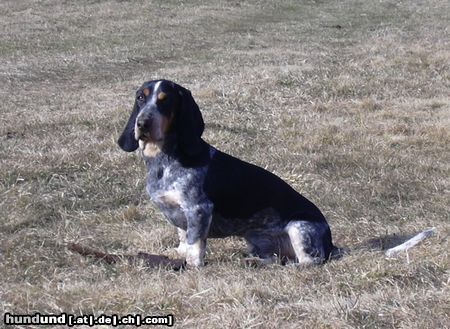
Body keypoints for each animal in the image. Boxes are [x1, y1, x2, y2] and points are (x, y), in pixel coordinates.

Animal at [118, 79, 336, 266]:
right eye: (140, 98)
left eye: (166, 100)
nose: (142, 123)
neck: (164, 160)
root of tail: (331, 244)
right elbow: (183, 237)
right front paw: (178, 255)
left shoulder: (198, 209)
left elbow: (194, 242)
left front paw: (191, 265)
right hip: (258, 243)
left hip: (299, 229)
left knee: (308, 262)